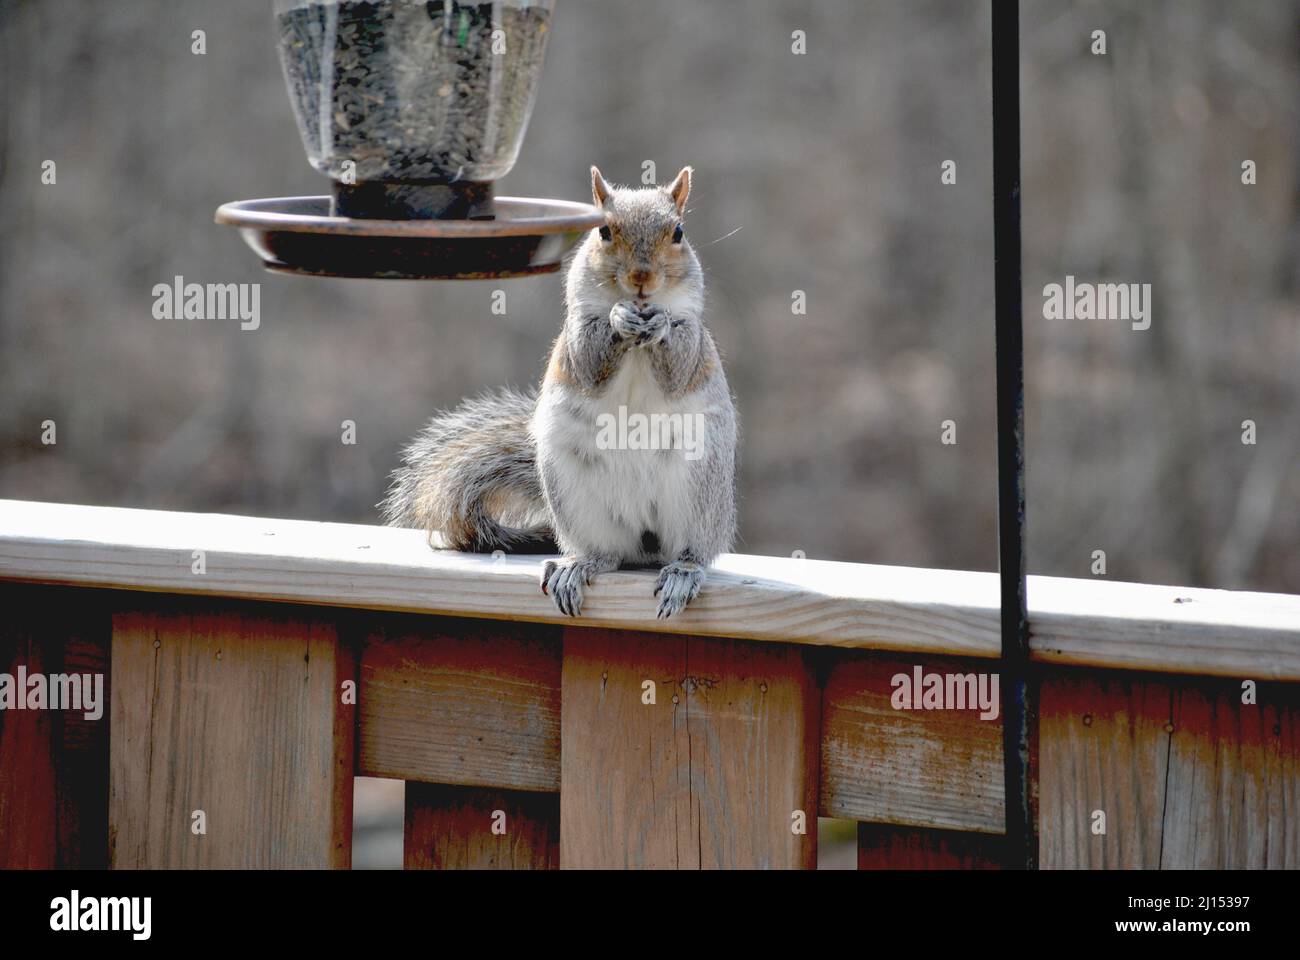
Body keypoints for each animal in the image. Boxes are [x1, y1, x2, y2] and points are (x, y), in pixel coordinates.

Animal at [379, 167, 738, 616]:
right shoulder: (576, 334)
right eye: (603, 230)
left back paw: (682, 573)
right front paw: (618, 318)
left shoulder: (693, 340)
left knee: (690, 551)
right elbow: (589, 358)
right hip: (573, 495)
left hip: (699, 494)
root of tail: (646, 546)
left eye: (678, 232)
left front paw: (658, 325)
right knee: (608, 554)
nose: (641, 279)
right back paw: (578, 566)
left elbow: (679, 363)